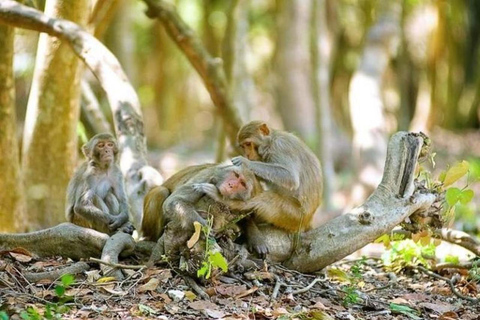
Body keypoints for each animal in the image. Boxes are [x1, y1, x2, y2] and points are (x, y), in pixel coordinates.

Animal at [194, 121, 322, 234]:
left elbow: (290, 177)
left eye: (248, 144)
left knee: (265, 199)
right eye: (243, 146)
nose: (247, 155)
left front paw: (245, 162)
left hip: (292, 215)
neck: (271, 141)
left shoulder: (280, 146)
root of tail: (308, 219)